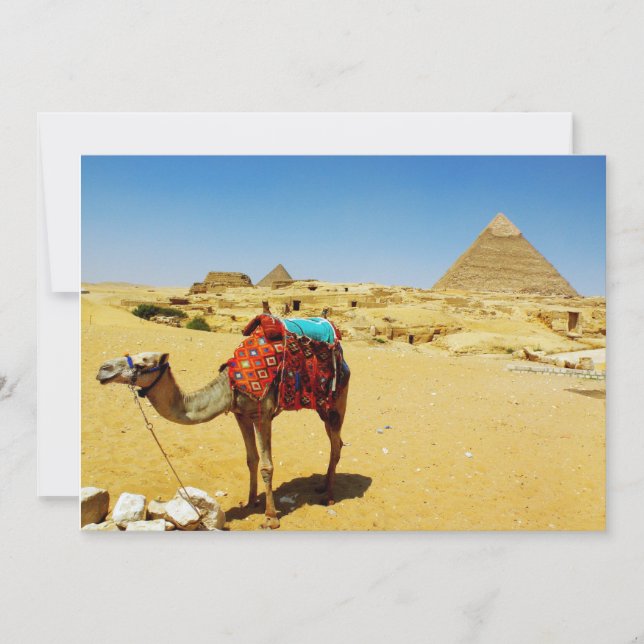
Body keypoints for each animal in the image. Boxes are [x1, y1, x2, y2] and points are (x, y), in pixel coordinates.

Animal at [96, 350, 350, 529]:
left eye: (143, 363)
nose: (103, 369)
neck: (227, 388)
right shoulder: (241, 414)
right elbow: (251, 459)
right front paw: (251, 501)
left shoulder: (263, 414)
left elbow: (266, 466)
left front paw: (270, 518)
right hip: (323, 407)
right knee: (335, 443)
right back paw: (321, 486)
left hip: (335, 403)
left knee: (336, 444)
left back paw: (329, 496)